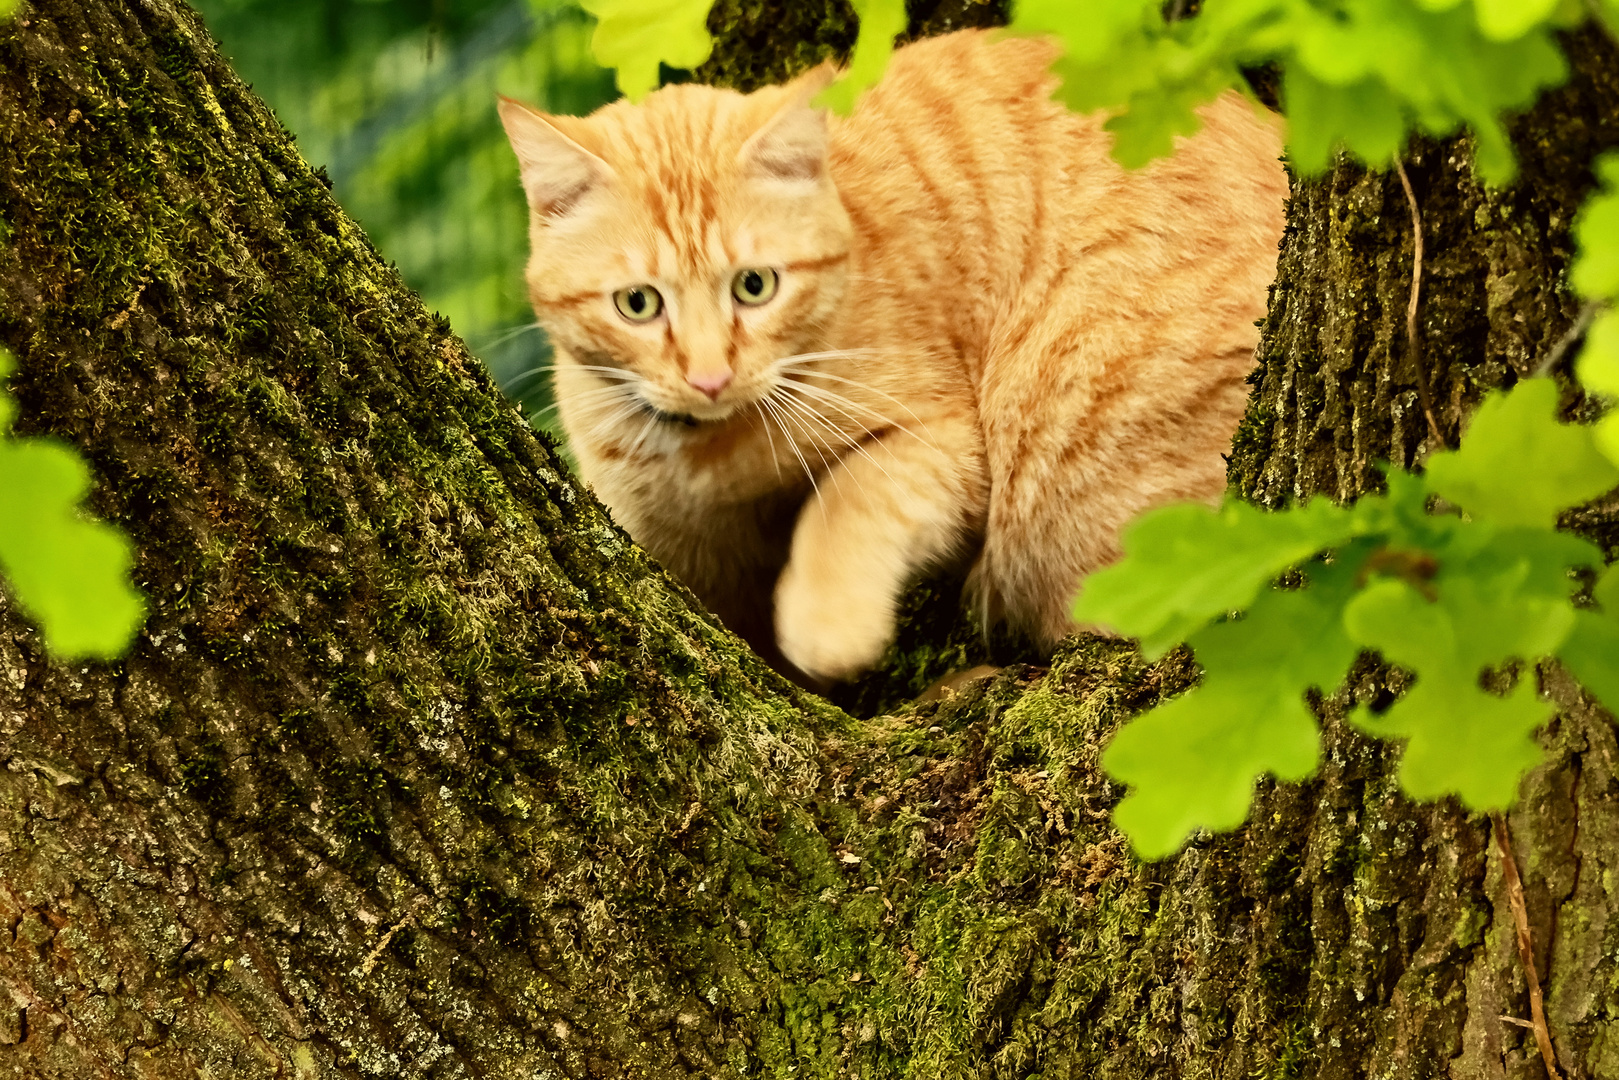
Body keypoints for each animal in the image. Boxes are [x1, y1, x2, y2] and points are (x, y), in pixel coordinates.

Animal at [498, 29, 1282, 683]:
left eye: (754, 286)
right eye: (638, 303)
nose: (709, 376)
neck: (717, 464)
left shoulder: (941, 436)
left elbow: (847, 498)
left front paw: (827, 627)